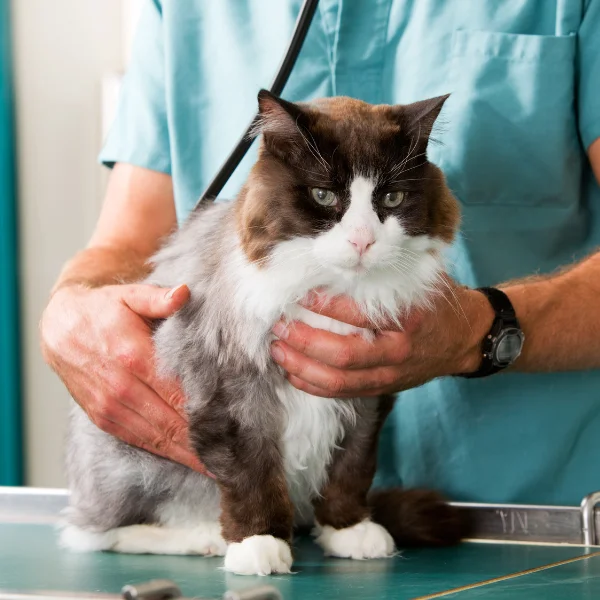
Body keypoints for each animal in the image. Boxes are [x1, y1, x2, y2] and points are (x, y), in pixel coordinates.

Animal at [61, 90, 462, 576]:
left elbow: (351, 468)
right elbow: (252, 476)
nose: (362, 241)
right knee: (95, 533)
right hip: (133, 464)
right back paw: (203, 538)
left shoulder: (366, 394)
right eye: (323, 195)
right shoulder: (232, 395)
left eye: (392, 197)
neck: (331, 290)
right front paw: (259, 544)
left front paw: (348, 529)